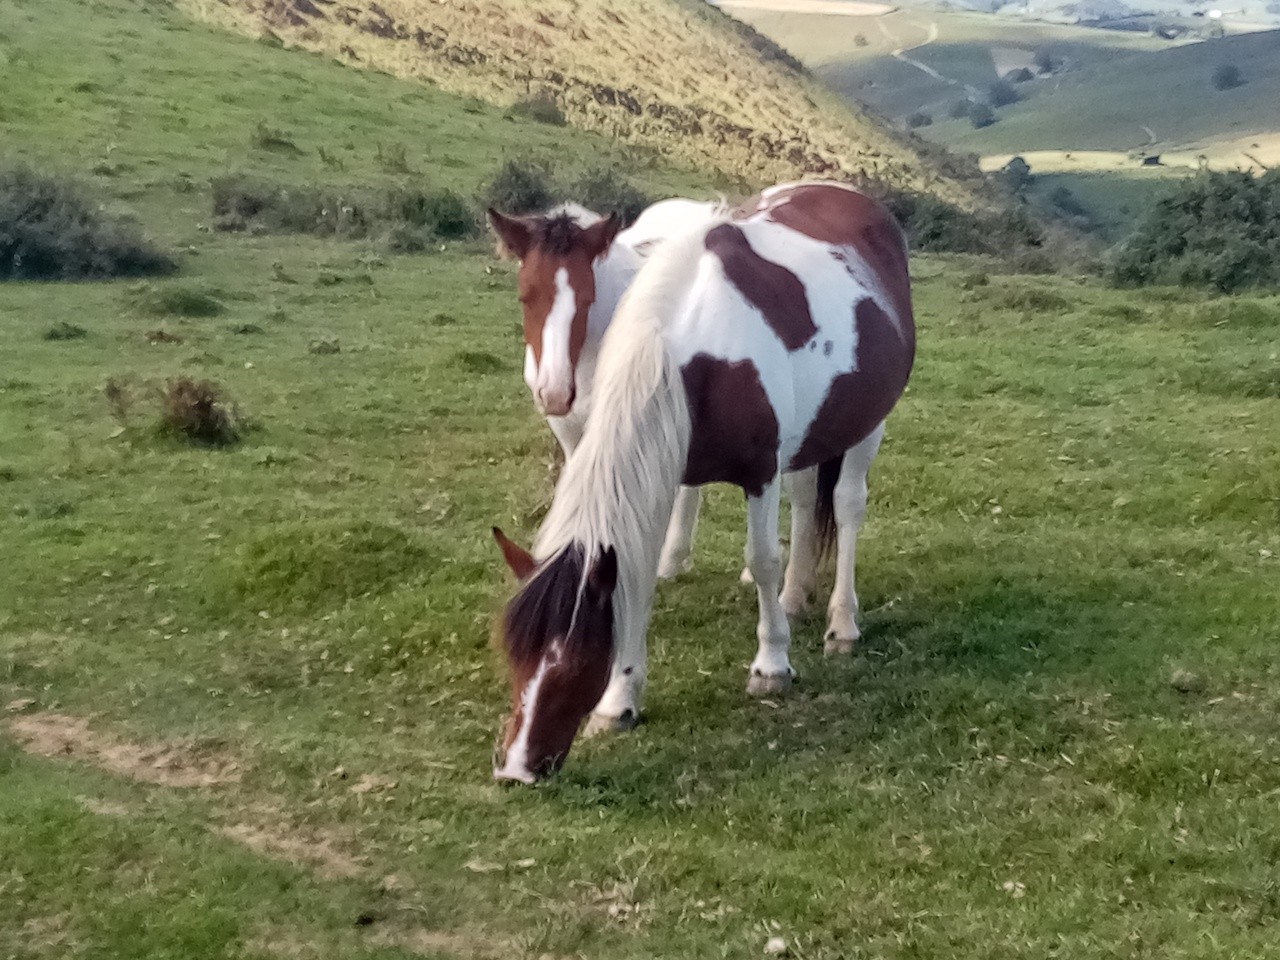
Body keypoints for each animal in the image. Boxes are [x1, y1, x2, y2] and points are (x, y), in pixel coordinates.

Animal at [483, 181, 916, 783]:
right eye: (514, 655)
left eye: (572, 666)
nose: (518, 770)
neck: (694, 348)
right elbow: (638, 574)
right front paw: (620, 701)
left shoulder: (759, 472)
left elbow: (763, 558)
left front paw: (772, 665)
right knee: (807, 498)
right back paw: (796, 596)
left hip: (867, 424)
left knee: (848, 506)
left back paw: (842, 624)